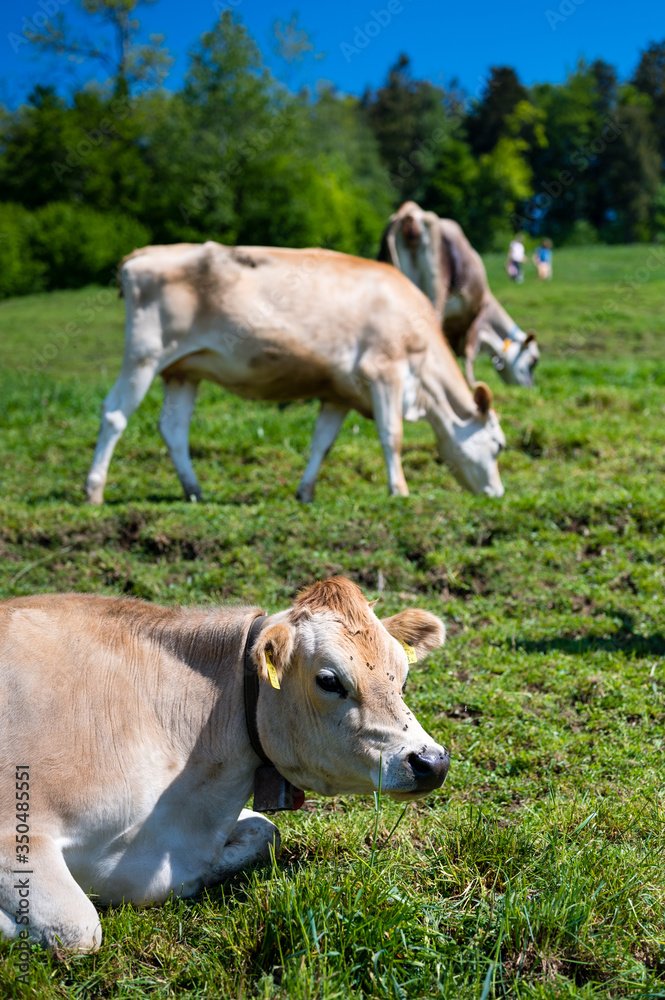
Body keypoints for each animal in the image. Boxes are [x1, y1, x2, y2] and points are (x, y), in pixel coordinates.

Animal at [0, 576, 448, 948]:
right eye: (329, 680)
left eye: (402, 676)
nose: (433, 760)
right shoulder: (18, 834)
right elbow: (78, 929)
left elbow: (266, 830)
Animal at [378, 201, 540, 388]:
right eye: (533, 361)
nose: (531, 387)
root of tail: (410, 213)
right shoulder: (478, 314)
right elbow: (469, 352)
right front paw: (471, 384)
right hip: (434, 294)